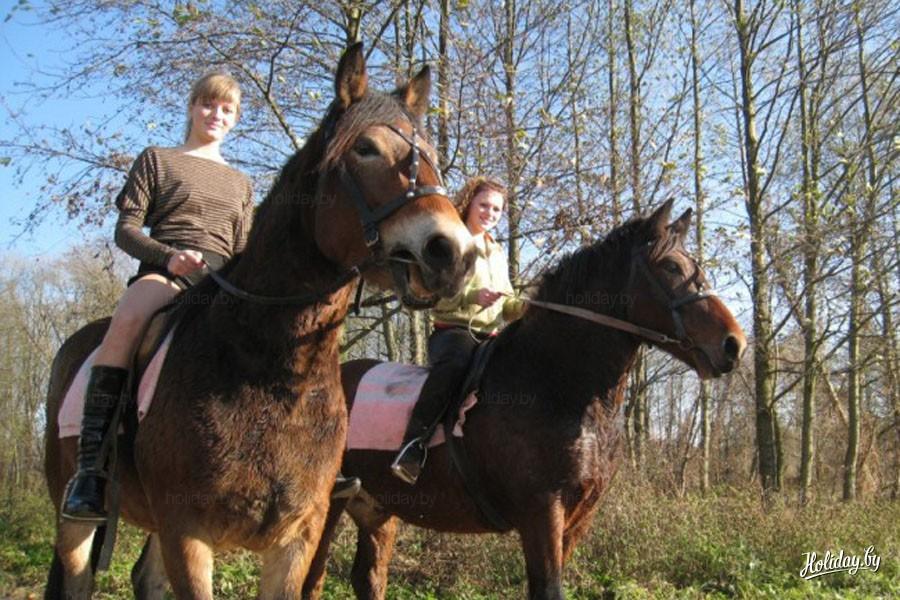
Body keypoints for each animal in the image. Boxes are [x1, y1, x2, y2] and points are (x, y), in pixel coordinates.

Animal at [43, 42, 476, 600]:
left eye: (431, 158)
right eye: (366, 150)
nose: (453, 253)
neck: (272, 371)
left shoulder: (295, 539)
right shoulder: (188, 533)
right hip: (74, 516)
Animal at [299, 199, 748, 600]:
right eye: (671, 266)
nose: (733, 345)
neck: (558, 383)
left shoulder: (577, 518)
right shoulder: (541, 512)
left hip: (378, 507)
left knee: (368, 578)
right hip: (327, 506)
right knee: (312, 580)